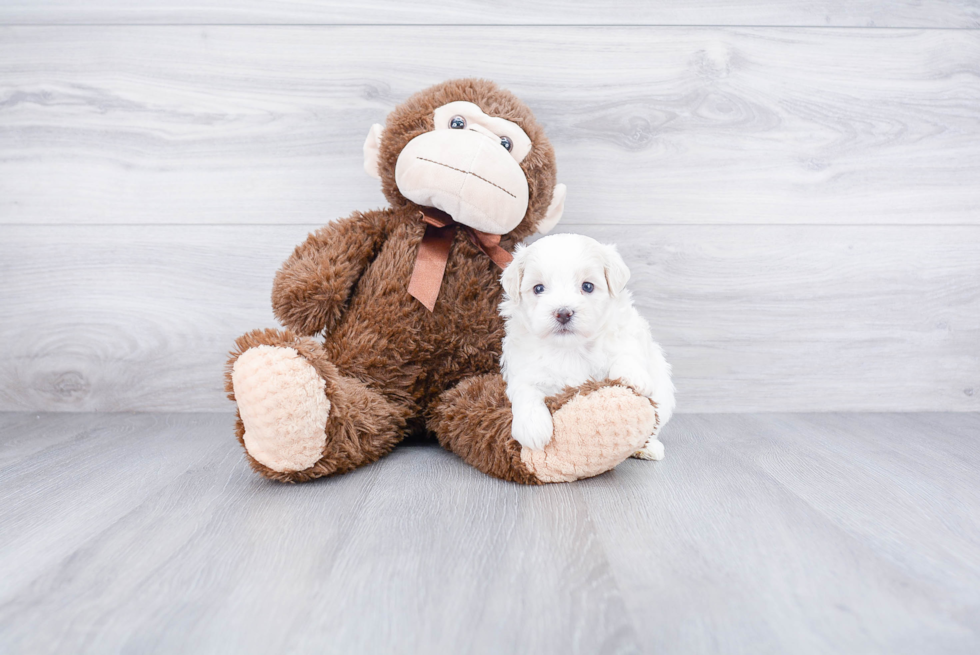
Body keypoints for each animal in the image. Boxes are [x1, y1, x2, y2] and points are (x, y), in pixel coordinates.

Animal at [498, 233, 672, 458]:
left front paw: (633, 377)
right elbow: (526, 391)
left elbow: (626, 352)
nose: (563, 313)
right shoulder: (523, 367)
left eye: (587, 286)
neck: (571, 348)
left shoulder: (626, 331)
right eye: (538, 288)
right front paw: (532, 427)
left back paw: (649, 447)